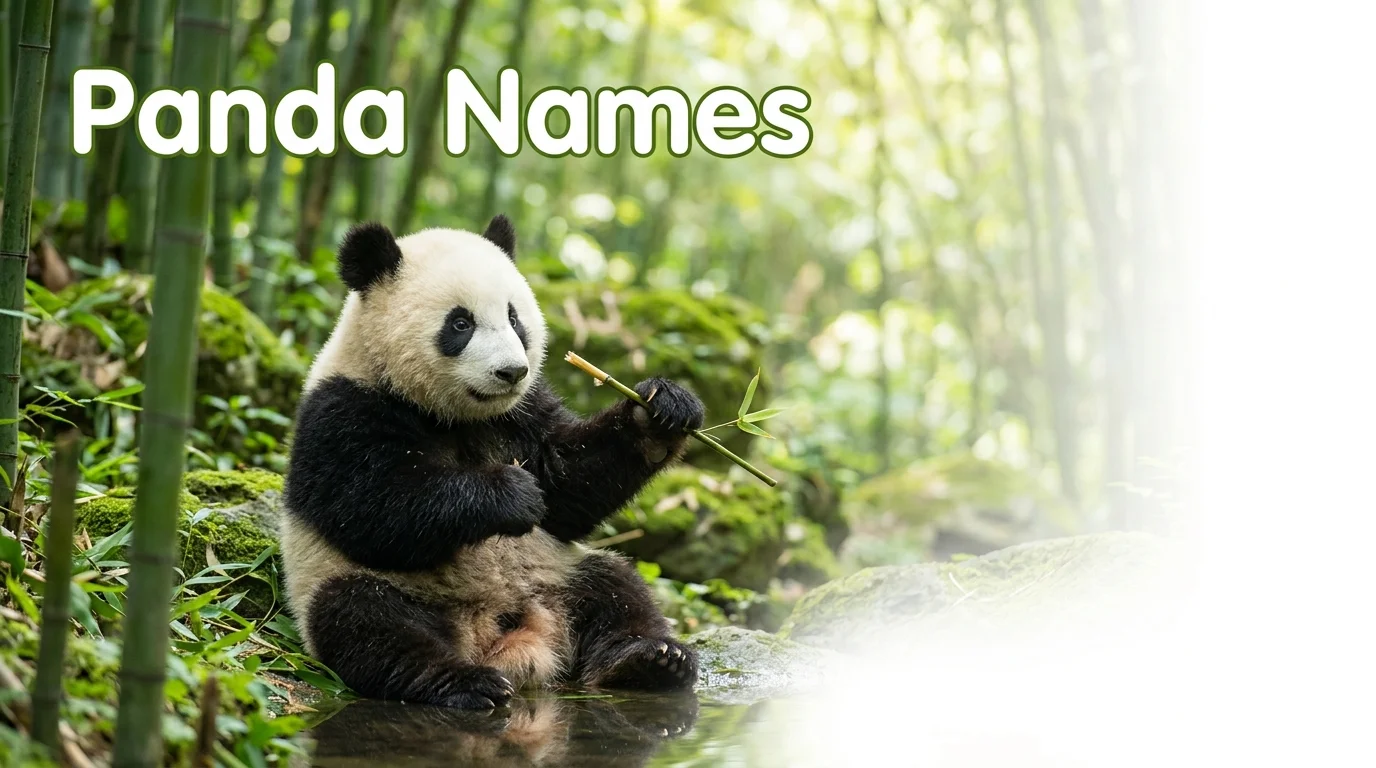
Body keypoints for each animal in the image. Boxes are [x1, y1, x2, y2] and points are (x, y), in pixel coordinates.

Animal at [280, 215, 704, 709]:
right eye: (460, 323)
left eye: (513, 318)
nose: (512, 372)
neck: (454, 415)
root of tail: (503, 641)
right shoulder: (343, 409)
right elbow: (372, 509)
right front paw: (511, 495)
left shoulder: (523, 413)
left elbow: (569, 490)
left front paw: (661, 411)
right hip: (358, 584)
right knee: (368, 622)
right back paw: (465, 682)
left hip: (557, 572)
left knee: (615, 588)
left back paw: (650, 660)